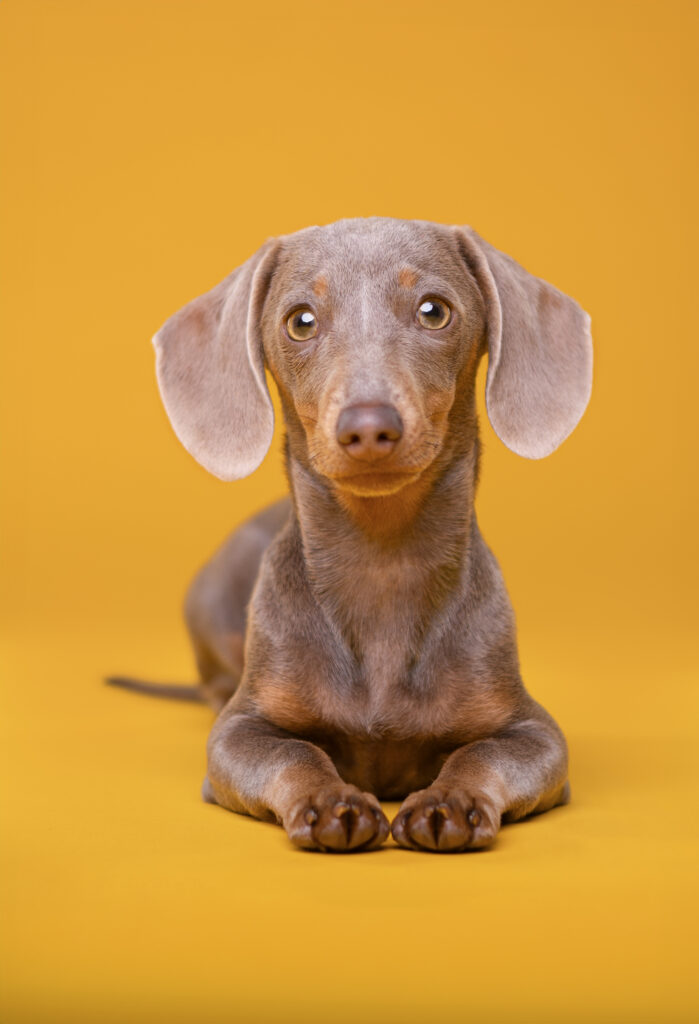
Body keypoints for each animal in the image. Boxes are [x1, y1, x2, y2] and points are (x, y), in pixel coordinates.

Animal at [107, 220, 589, 851]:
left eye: (434, 311)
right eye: (300, 321)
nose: (368, 426)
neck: (382, 562)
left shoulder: (534, 732)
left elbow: (480, 754)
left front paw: (449, 801)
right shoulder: (239, 733)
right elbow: (293, 753)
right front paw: (328, 801)